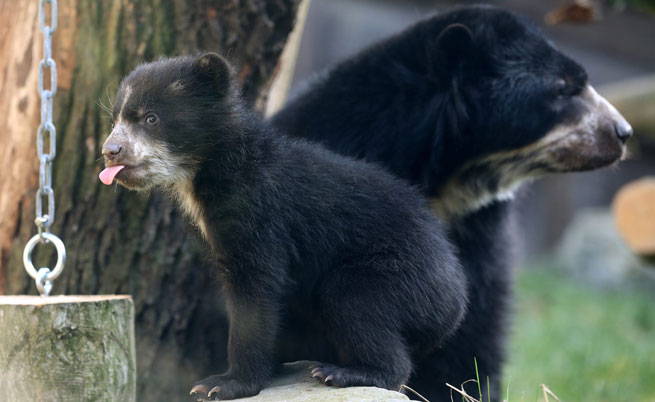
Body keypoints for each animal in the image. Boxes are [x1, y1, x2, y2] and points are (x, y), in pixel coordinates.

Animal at [97, 52, 468, 398]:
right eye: (115, 119)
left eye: (150, 117)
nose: (110, 150)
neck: (208, 170)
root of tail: (456, 301)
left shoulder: (260, 214)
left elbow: (256, 290)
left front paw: (223, 384)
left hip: (399, 276)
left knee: (357, 301)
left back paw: (347, 372)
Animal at [270, 4, 632, 400]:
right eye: (562, 89)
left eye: (582, 81)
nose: (623, 132)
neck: (444, 184)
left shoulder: (478, 240)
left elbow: (473, 327)